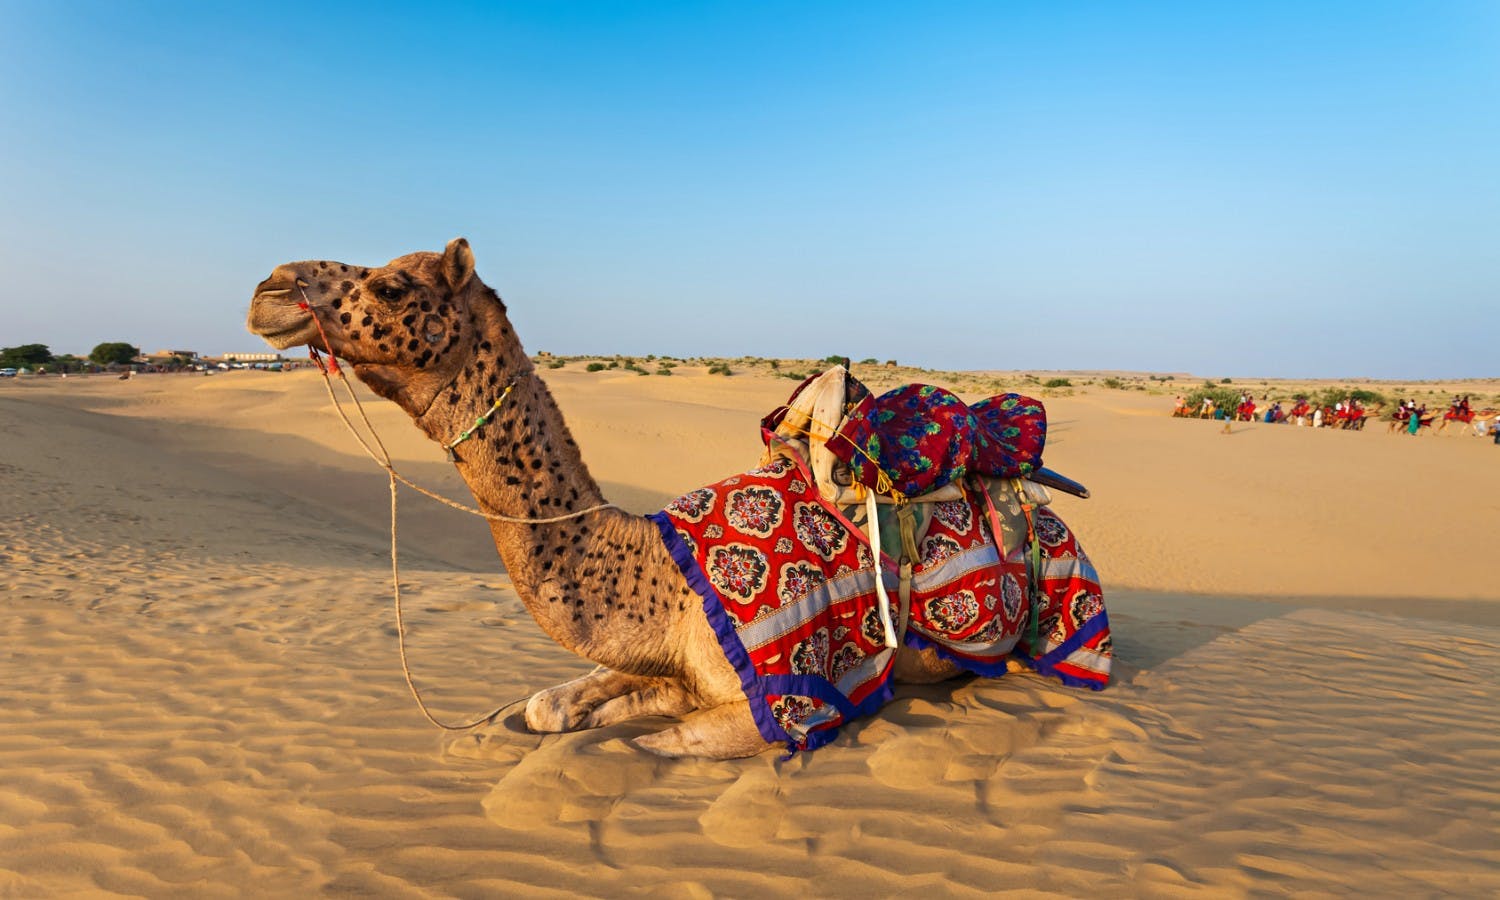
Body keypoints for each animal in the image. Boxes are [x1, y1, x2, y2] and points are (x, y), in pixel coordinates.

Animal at [247, 239, 991, 760]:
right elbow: (548, 707)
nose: (267, 288)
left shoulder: (789, 708)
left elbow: (655, 742)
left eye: (391, 285)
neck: (665, 577)